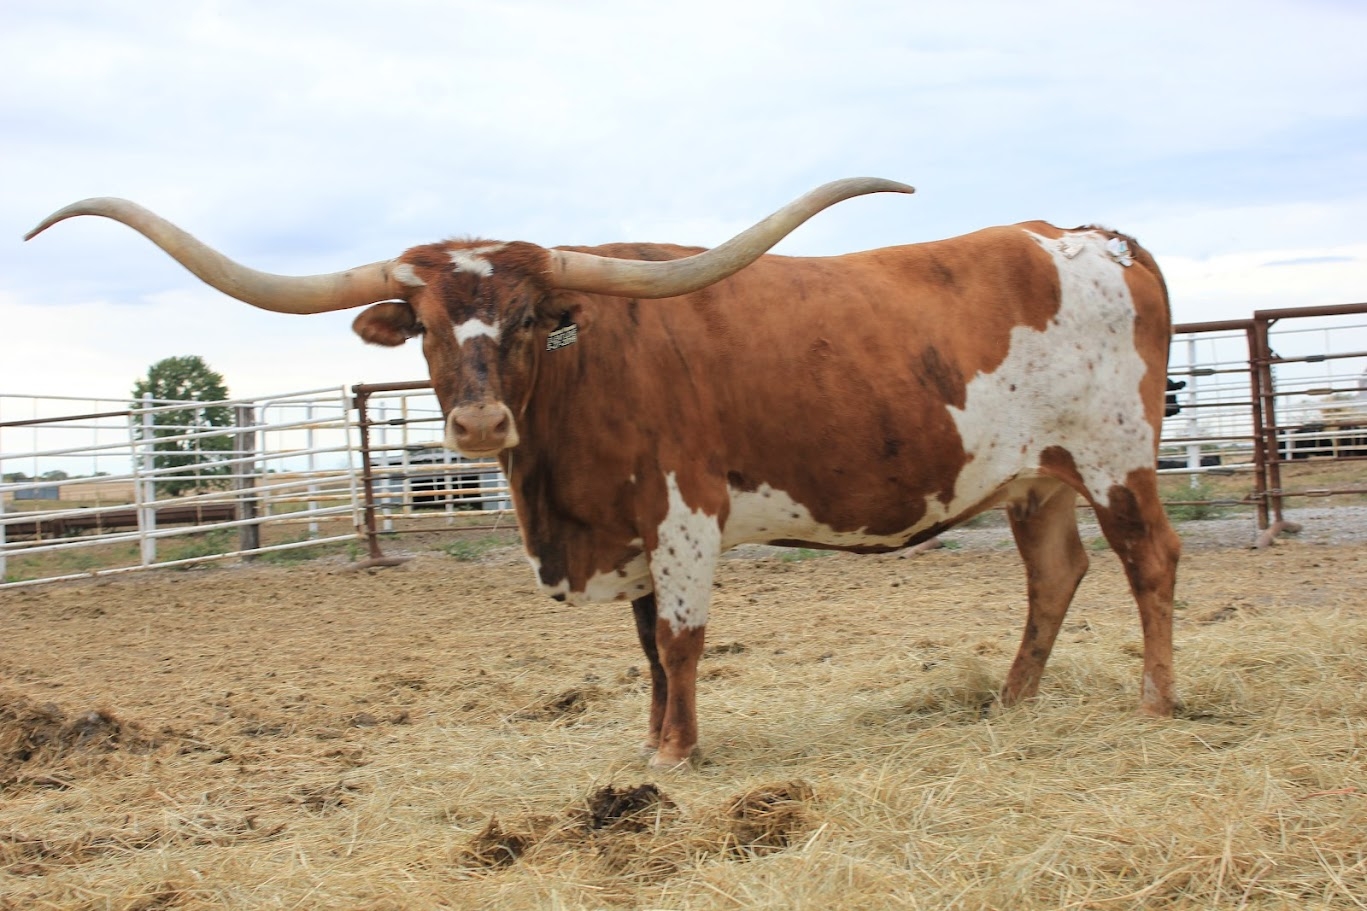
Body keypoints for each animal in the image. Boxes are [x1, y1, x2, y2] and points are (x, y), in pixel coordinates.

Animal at [26, 179, 1181, 769]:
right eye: (427, 327)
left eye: (532, 320)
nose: (479, 418)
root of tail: (1095, 235)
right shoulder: (624, 535)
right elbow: (643, 652)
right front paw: (652, 740)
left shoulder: (682, 512)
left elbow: (679, 640)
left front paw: (675, 758)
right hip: (1036, 477)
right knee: (1053, 574)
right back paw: (1009, 703)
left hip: (1117, 455)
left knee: (1148, 560)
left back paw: (1155, 702)